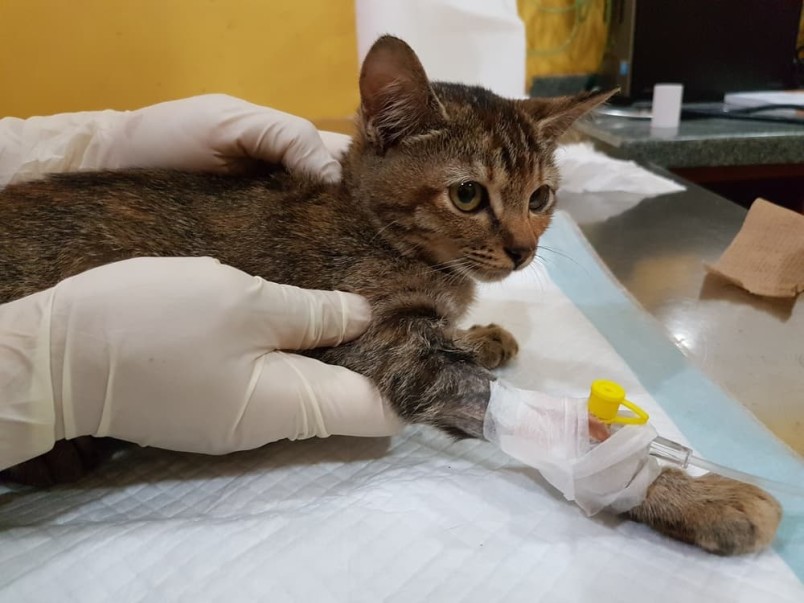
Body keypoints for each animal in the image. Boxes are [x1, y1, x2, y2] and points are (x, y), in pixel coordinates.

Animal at [0, 36, 780, 556]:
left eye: (541, 197)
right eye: (467, 195)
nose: (524, 249)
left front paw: (482, 334)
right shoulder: (387, 345)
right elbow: (511, 410)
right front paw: (688, 492)